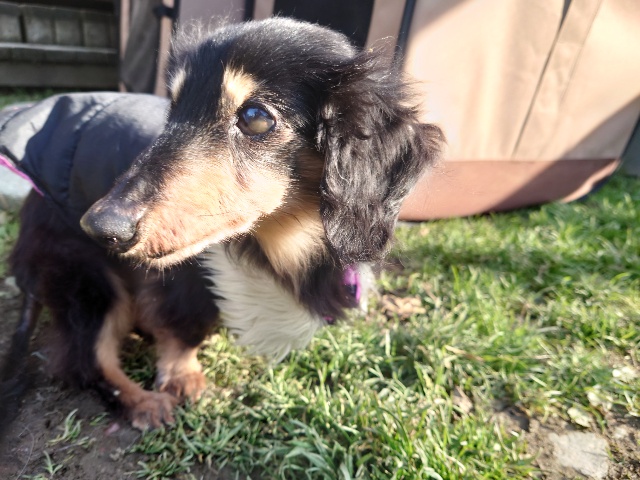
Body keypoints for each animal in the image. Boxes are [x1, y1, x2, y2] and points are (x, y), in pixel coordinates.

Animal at [0, 18, 444, 431]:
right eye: (173, 108)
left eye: (255, 116)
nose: (99, 226)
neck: (285, 237)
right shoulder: (181, 279)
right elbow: (183, 326)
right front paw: (182, 376)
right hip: (88, 281)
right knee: (85, 362)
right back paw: (141, 402)